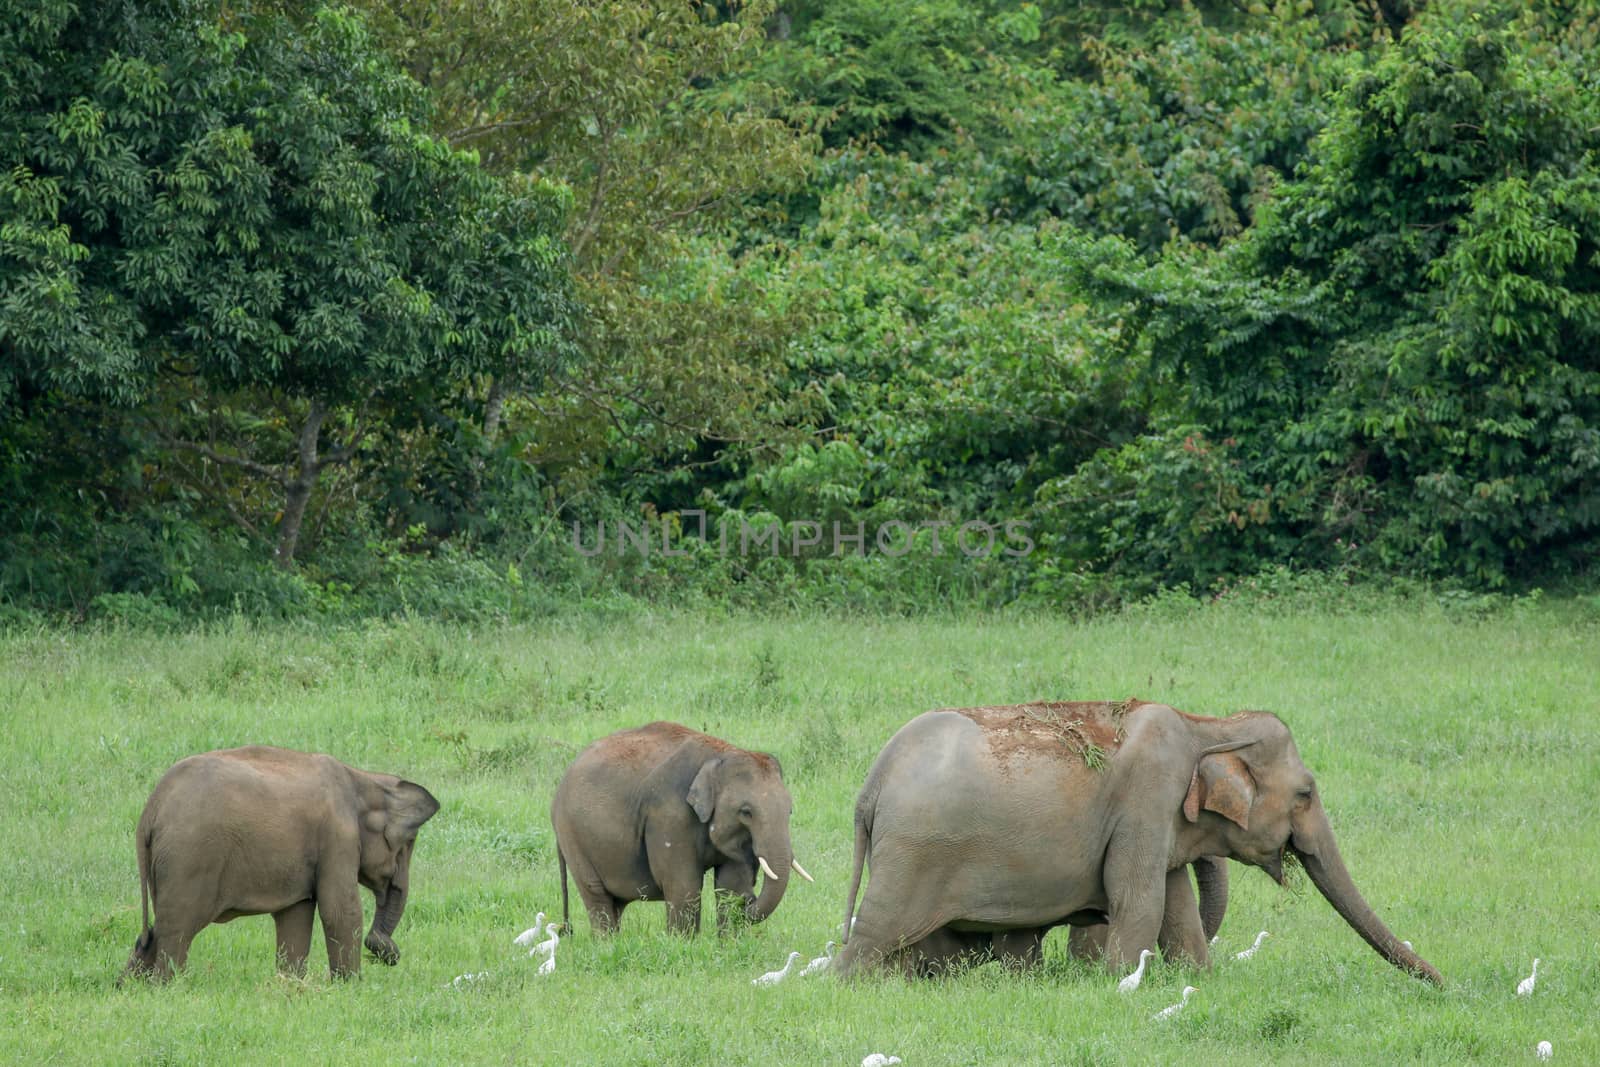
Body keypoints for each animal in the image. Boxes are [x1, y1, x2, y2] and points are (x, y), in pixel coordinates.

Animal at [121, 748, 441, 979]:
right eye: (406, 845)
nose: (385, 952)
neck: (364, 779)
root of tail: (151, 809)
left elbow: (296, 914)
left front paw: (291, 984)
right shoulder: (338, 837)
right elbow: (341, 910)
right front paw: (350, 987)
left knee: (154, 932)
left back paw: (130, 986)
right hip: (189, 858)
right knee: (177, 927)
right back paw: (166, 986)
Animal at [553, 723, 812, 940]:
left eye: (789, 811)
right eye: (746, 812)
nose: (750, 898)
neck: (719, 756)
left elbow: (730, 884)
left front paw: (730, 944)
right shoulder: (670, 817)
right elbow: (684, 886)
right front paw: (683, 945)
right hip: (571, 834)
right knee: (596, 896)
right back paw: (606, 944)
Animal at [832, 700, 1446, 985]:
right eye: (1305, 794)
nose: (1443, 985)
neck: (1207, 724)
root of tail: (871, 783)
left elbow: (1177, 910)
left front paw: (1198, 980)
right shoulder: (1145, 803)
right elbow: (1139, 901)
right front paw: (1118, 982)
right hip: (913, 852)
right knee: (873, 935)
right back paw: (851, 985)